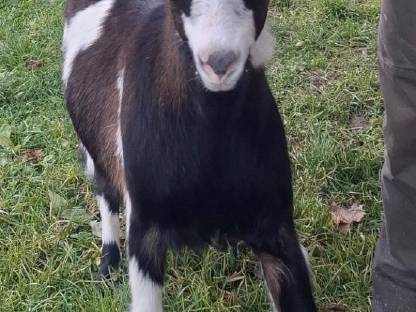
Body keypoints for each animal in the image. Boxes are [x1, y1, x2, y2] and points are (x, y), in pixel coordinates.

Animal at [62, 0, 316, 310]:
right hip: (95, 150)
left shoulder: (276, 225)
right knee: (105, 193)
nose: (219, 63)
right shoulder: (144, 228)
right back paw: (107, 264)